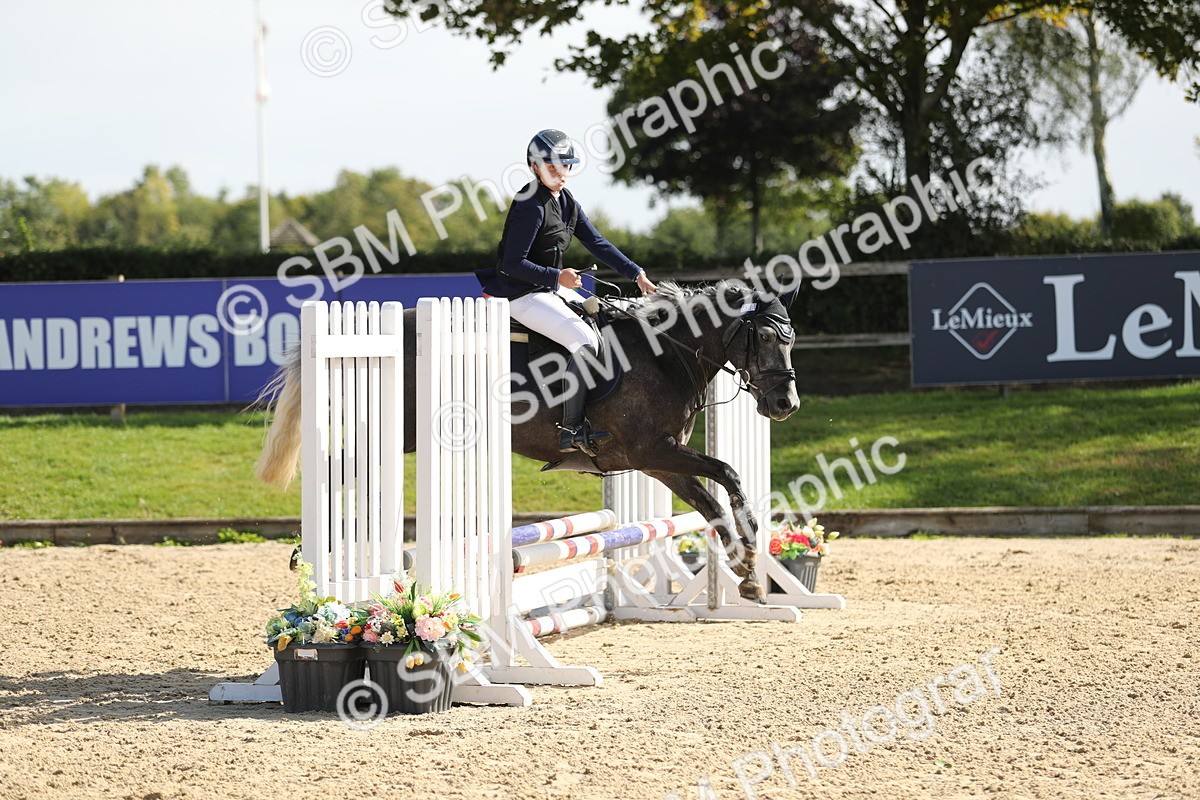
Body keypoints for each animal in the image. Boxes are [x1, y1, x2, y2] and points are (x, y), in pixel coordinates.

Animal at [255, 280, 800, 601]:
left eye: (791, 338)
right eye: (765, 338)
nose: (785, 404)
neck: (664, 354)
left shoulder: (659, 461)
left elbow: (712, 505)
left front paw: (749, 572)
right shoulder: (652, 450)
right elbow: (728, 474)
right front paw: (751, 551)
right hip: (400, 434)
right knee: (343, 469)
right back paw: (310, 550)